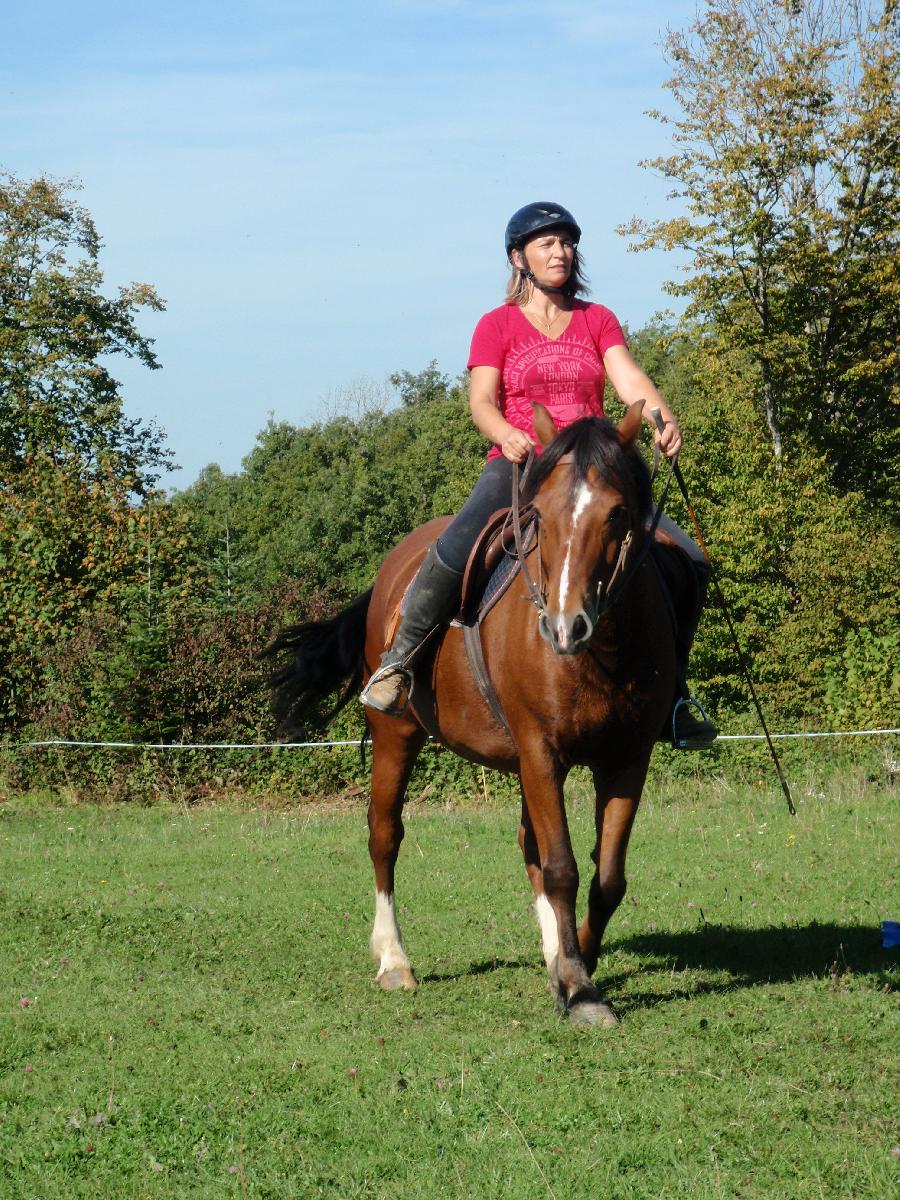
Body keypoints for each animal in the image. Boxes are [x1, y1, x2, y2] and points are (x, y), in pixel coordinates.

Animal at [267, 400, 676, 1022]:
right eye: (540, 517)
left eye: (617, 513)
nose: (566, 627)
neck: (599, 655)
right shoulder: (540, 749)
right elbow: (562, 869)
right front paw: (580, 988)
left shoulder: (628, 759)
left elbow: (606, 878)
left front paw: (573, 967)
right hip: (396, 736)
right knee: (384, 835)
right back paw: (394, 960)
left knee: (531, 848)